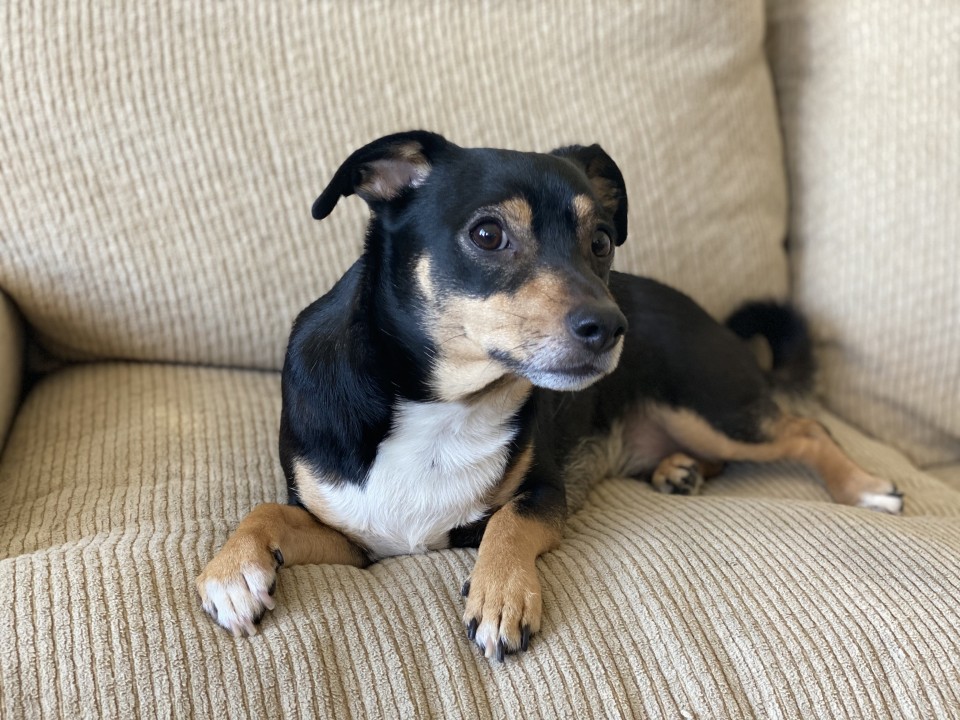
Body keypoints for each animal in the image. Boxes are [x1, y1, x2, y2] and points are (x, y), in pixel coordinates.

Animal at [197, 131, 908, 664]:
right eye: (487, 235)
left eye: (602, 241)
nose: (612, 328)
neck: (440, 407)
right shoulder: (355, 539)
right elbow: (265, 510)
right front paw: (232, 572)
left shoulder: (545, 492)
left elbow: (508, 522)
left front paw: (501, 597)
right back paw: (678, 471)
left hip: (706, 406)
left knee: (805, 430)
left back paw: (865, 486)